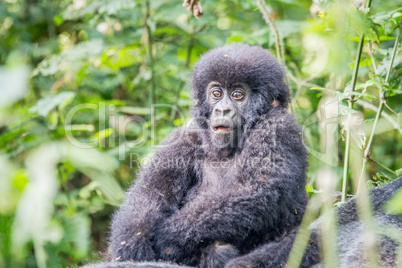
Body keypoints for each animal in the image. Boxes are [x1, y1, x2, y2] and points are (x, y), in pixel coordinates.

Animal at [107, 43, 308, 266]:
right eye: (217, 93)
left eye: (238, 95)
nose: (222, 110)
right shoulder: (183, 139)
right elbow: (149, 194)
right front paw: (133, 243)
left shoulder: (279, 127)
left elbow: (257, 188)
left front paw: (168, 239)